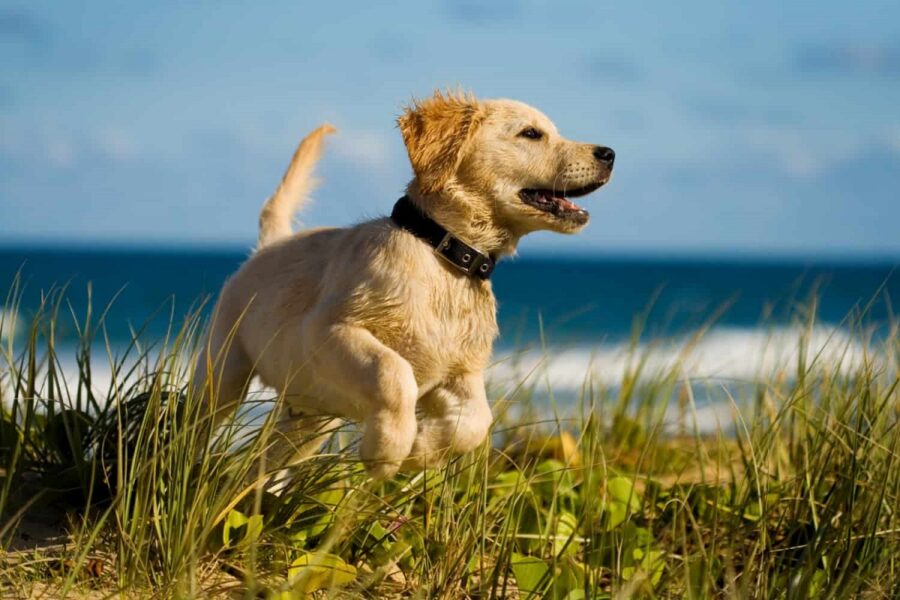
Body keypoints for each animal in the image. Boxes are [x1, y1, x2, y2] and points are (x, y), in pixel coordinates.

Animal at [193, 91, 616, 480]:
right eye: (531, 133)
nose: (609, 153)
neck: (445, 255)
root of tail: (269, 245)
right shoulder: (329, 329)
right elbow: (393, 372)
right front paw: (387, 451)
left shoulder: (460, 371)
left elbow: (477, 420)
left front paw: (422, 451)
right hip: (223, 372)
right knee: (196, 421)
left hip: (310, 420)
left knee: (259, 466)